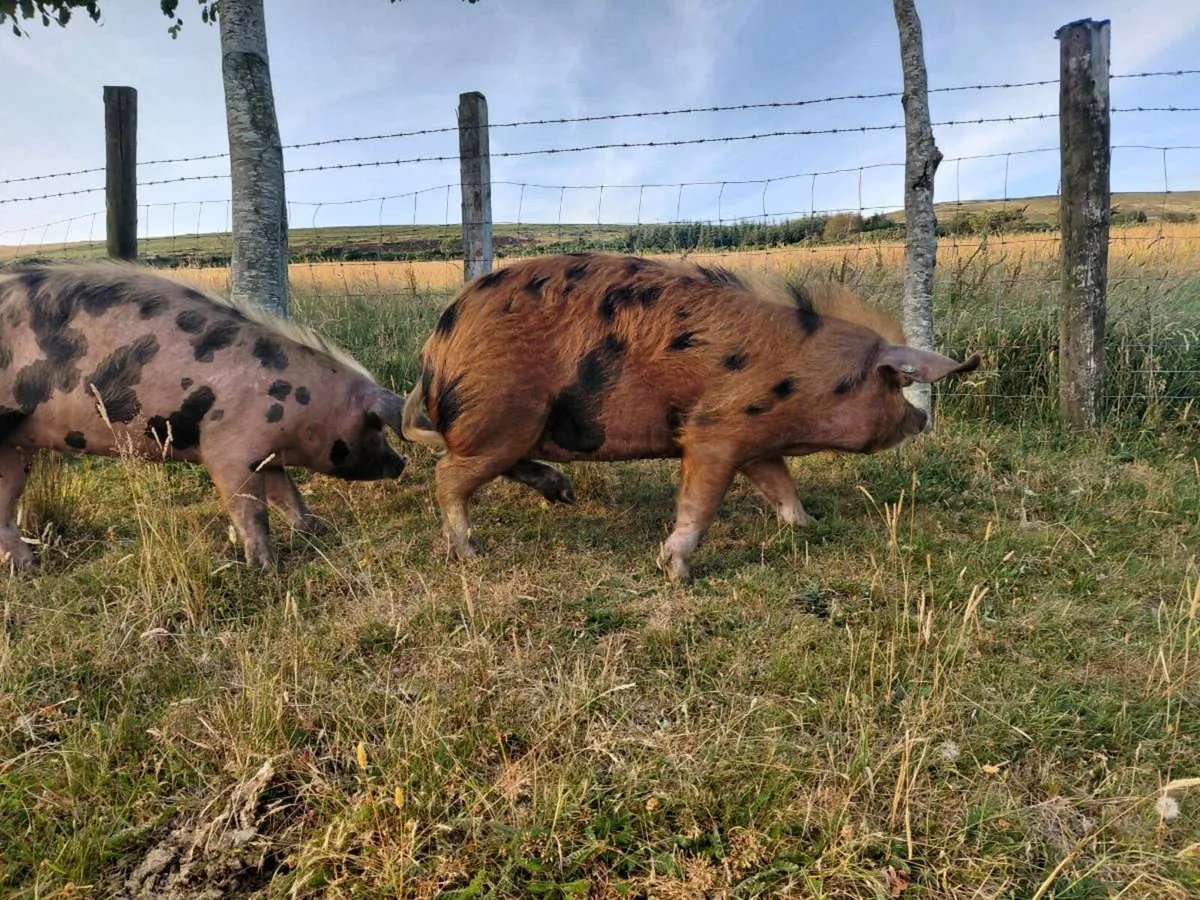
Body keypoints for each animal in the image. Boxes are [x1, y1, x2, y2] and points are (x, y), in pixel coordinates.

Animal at [0, 261, 408, 572]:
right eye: (375, 426)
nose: (401, 462)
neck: (299, 398)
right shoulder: (228, 448)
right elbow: (251, 510)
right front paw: (267, 569)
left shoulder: (267, 455)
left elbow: (287, 494)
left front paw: (316, 530)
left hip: (15, 448)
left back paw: (30, 569)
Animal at [401, 252, 979, 583]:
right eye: (896, 383)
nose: (919, 420)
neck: (806, 374)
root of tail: (436, 349)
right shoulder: (715, 429)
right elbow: (700, 502)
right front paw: (676, 571)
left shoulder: (758, 441)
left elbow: (782, 486)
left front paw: (809, 525)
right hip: (503, 414)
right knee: (447, 475)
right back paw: (472, 554)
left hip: (518, 426)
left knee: (496, 464)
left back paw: (563, 494)